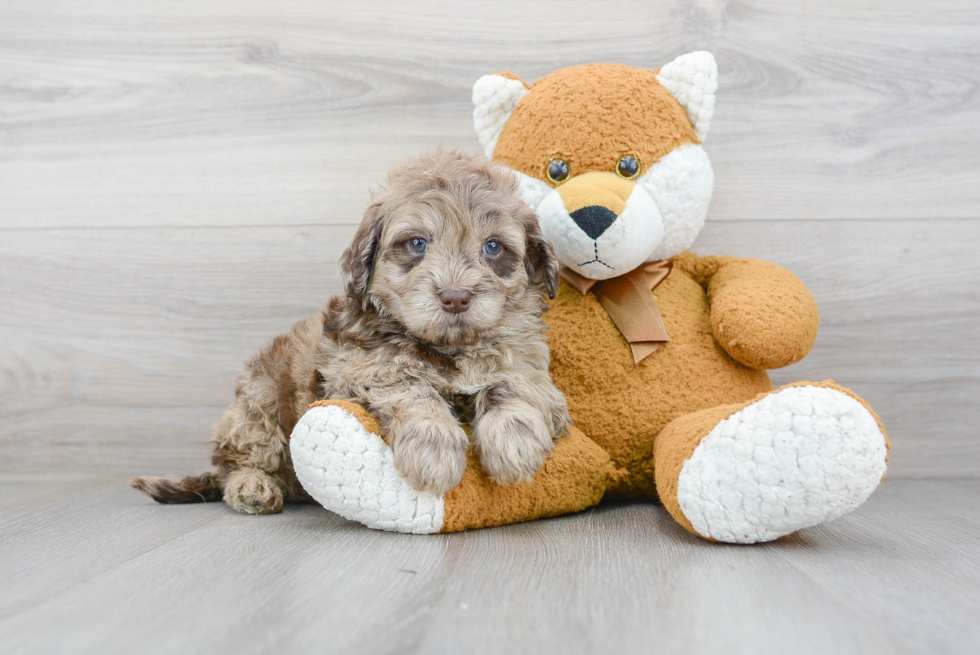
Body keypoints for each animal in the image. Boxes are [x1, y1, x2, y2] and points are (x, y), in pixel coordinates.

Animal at [134, 151, 572, 516]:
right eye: (417, 243)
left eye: (493, 248)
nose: (455, 298)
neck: (446, 348)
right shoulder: (359, 370)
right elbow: (411, 389)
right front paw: (434, 449)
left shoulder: (531, 366)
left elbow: (512, 382)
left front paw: (513, 439)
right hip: (258, 404)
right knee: (238, 461)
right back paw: (252, 487)